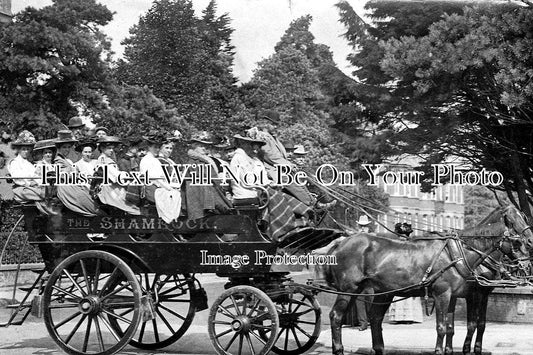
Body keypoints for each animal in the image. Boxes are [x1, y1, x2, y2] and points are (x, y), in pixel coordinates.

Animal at [320, 204, 532, 355]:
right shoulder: (447, 294)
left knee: (375, 319)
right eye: (512, 220)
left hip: (381, 292)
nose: (530, 240)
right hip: (348, 289)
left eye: (523, 216)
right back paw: (338, 348)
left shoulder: (460, 295)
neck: (460, 253)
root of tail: (340, 243)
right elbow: (445, 327)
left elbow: (458, 326)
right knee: (336, 317)